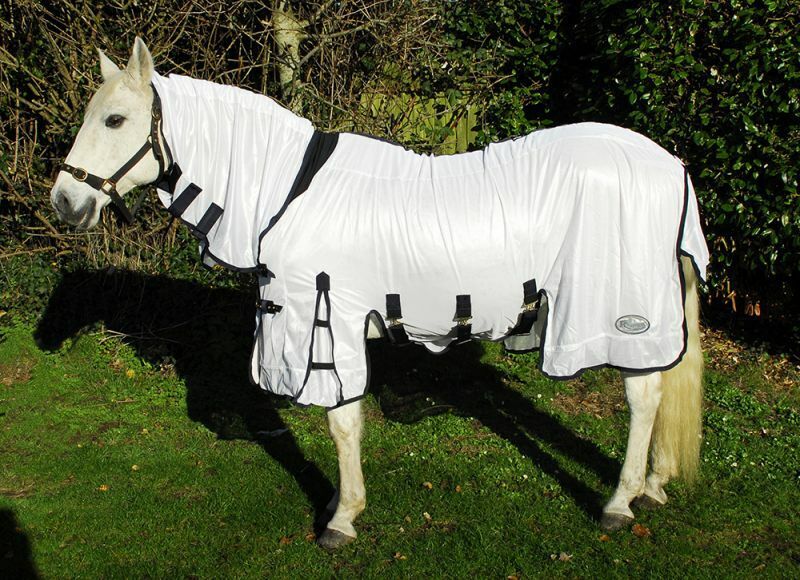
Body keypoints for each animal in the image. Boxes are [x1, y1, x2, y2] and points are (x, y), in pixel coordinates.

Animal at [50, 38, 707, 550]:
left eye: (115, 120)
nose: (64, 201)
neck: (287, 188)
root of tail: (670, 165)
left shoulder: (326, 321)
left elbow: (343, 425)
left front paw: (342, 518)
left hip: (621, 314)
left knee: (645, 396)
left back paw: (620, 502)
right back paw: (653, 486)